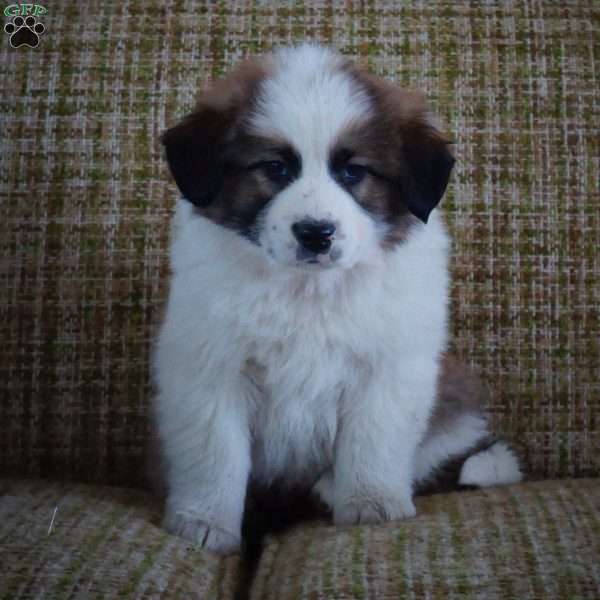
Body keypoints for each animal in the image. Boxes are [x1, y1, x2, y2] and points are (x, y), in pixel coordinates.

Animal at [154, 44, 520, 556]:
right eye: (275, 168)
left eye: (353, 172)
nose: (316, 233)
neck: (308, 291)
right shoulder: (212, 367)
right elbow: (215, 450)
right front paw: (204, 521)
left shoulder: (389, 369)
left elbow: (373, 441)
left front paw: (370, 503)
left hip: (452, 404)